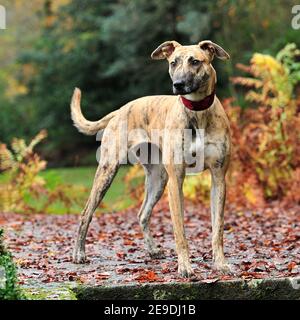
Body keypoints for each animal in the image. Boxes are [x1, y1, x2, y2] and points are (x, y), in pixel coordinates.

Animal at [70, 40, 232, 278]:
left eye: (195, 61)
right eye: (173, 62)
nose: (178, 85)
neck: (197, 112)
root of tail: (119, 110)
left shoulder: (219, 178)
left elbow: (217, 228)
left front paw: (220, 263)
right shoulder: (176, 181)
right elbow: (180, 232)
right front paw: (185, 267)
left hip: (158, 179)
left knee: (142, 214)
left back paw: (152, 249)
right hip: (108, 171)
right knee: (85, 214)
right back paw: (79, 253)